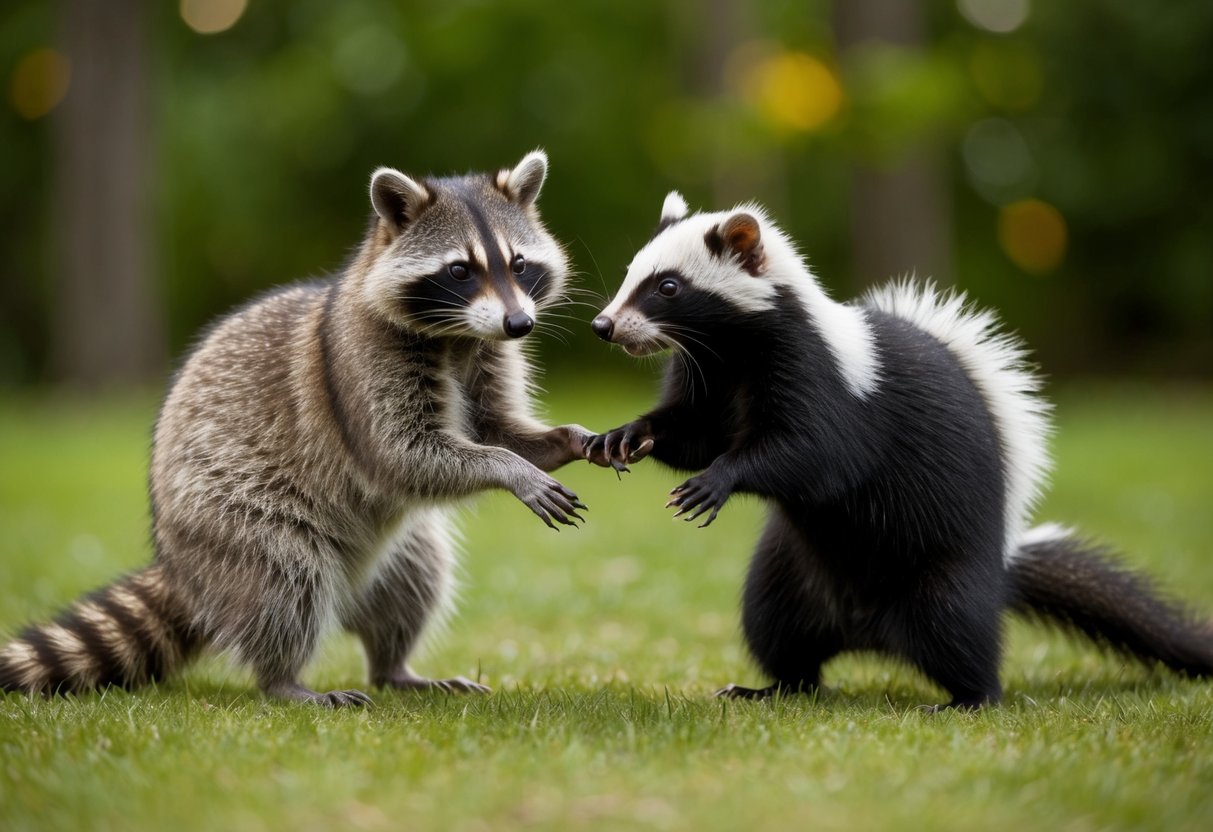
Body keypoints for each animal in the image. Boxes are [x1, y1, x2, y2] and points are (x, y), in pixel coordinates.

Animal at [0, 151, 590, 707]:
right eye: (460, 270)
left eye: (518, 263)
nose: (520, 324)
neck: (458, 335)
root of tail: (180, 567)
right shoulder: (363, 365)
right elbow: (404, 455)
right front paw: (511, 471)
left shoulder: (488, 355)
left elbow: (494, 428)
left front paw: (563, 441)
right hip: (229, 514)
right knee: (283, 579)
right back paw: (282, 679)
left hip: (393, 548)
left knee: (417, 575)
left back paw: (393, 667)